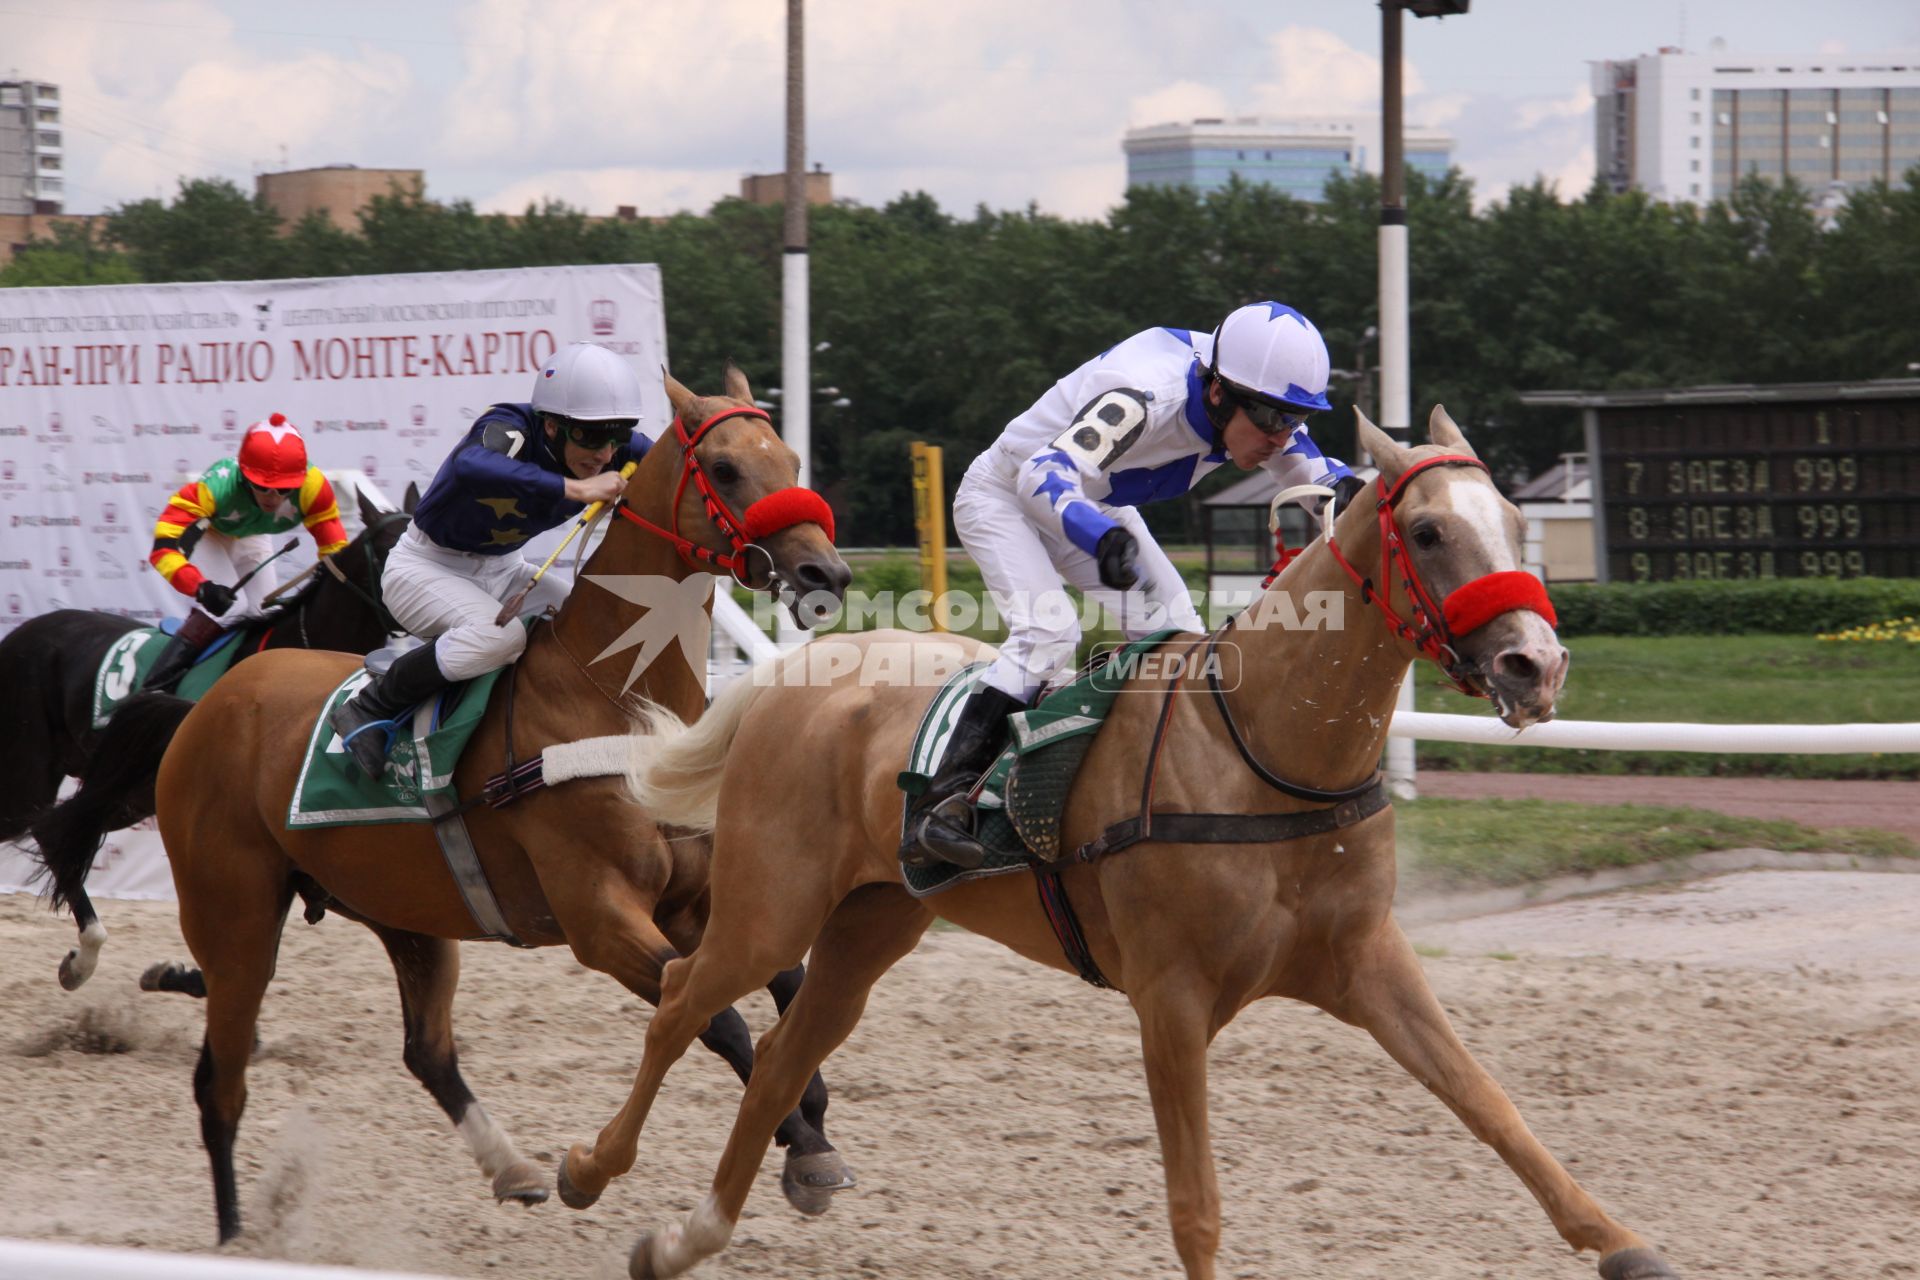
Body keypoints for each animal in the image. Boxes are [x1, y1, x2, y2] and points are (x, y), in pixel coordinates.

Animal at [1, 485, 414, 997]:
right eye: (397, 547)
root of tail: (18, 635)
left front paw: (169, 973)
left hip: (127, 795)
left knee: (55, 832)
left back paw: (82, 959)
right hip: (29, 774)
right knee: (45, 828)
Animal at [153, 368, 860, 1243]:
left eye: (789, 457)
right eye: (725, 469)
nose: (826, 574)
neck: (616, 697)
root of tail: (212, 704)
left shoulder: (692, 900)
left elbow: (788, 989)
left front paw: (812, 1128)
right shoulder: (599, 917)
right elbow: (715, 1016)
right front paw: (797, 1145)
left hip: (404, 913)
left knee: (426, 1050)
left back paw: (510, 1166)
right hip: (237, 918)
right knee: (220, 1081)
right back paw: (235, 1237)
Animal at [568, 408, 1681, 1280]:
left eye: (1518, 525)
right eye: (1429, 528)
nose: (1537, 665)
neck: (1267, 748)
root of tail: (798, 673)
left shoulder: (1369, 962)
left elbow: (1492, 1105)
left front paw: (1622, 1240)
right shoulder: (1172, 1000)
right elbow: (1196, 1205)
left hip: (867, 927)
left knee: (780, 1058)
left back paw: (692, 1234)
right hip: (770, 904)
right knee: (683, 1000)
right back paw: (585, 1168)